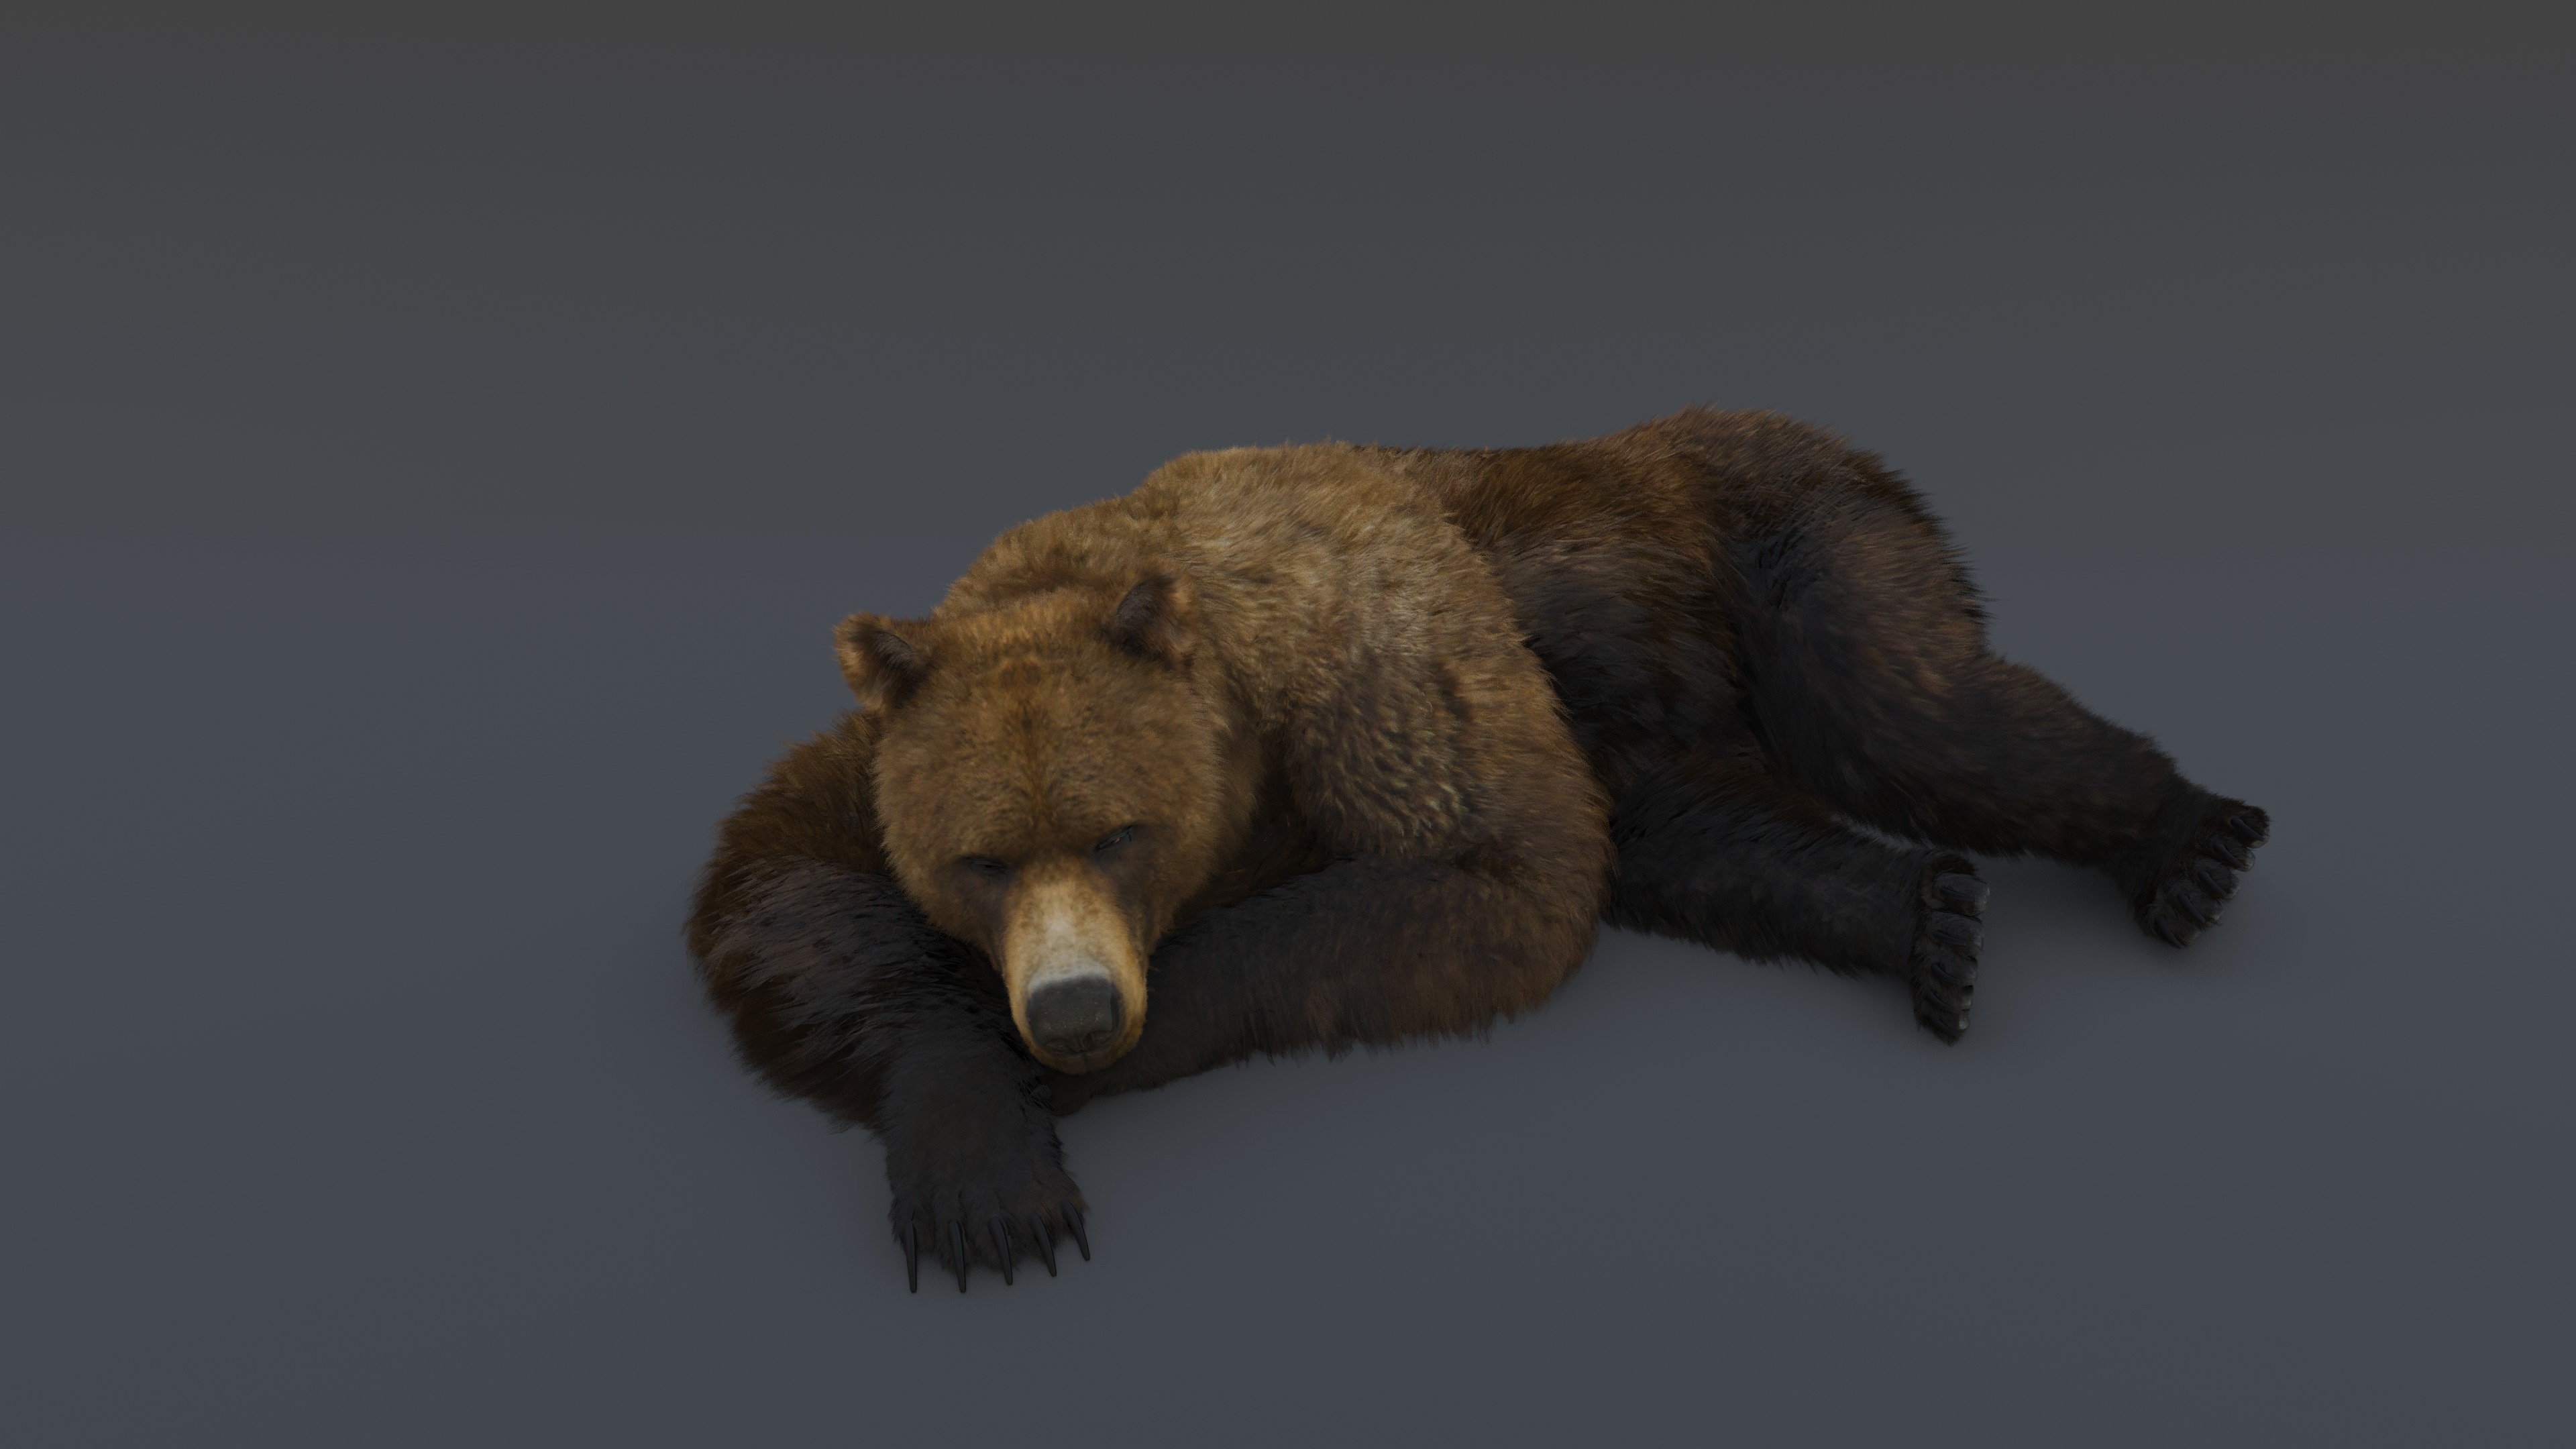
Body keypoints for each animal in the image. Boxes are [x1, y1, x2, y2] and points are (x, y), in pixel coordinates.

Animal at [687, 407, 2269, 1293]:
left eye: (1117, 831)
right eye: (983, 860)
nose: (1073, 1009)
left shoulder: (1373, 655)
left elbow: (1490, 879)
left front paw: (1086, 1061)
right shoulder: (883, 744)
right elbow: (772, 885)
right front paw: (982, 1162)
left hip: (1792, 542)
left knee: (1915, 712)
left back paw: (2186, 845)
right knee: (1704, 836)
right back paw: (1918, 922)